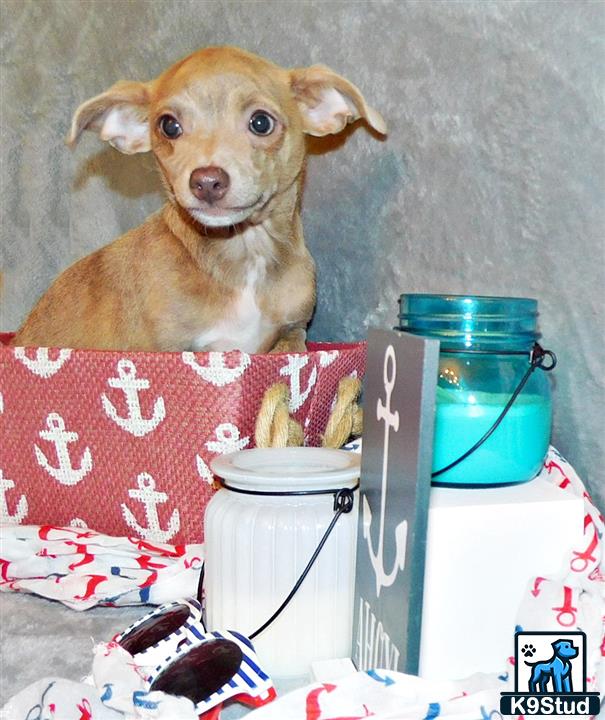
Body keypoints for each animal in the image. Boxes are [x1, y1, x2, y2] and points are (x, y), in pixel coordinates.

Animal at [11, 46, 384, 352]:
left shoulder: (293, 333)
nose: (206, 181)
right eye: (168, 126)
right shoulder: (165, 349)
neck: (245, 255)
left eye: (261, 122)